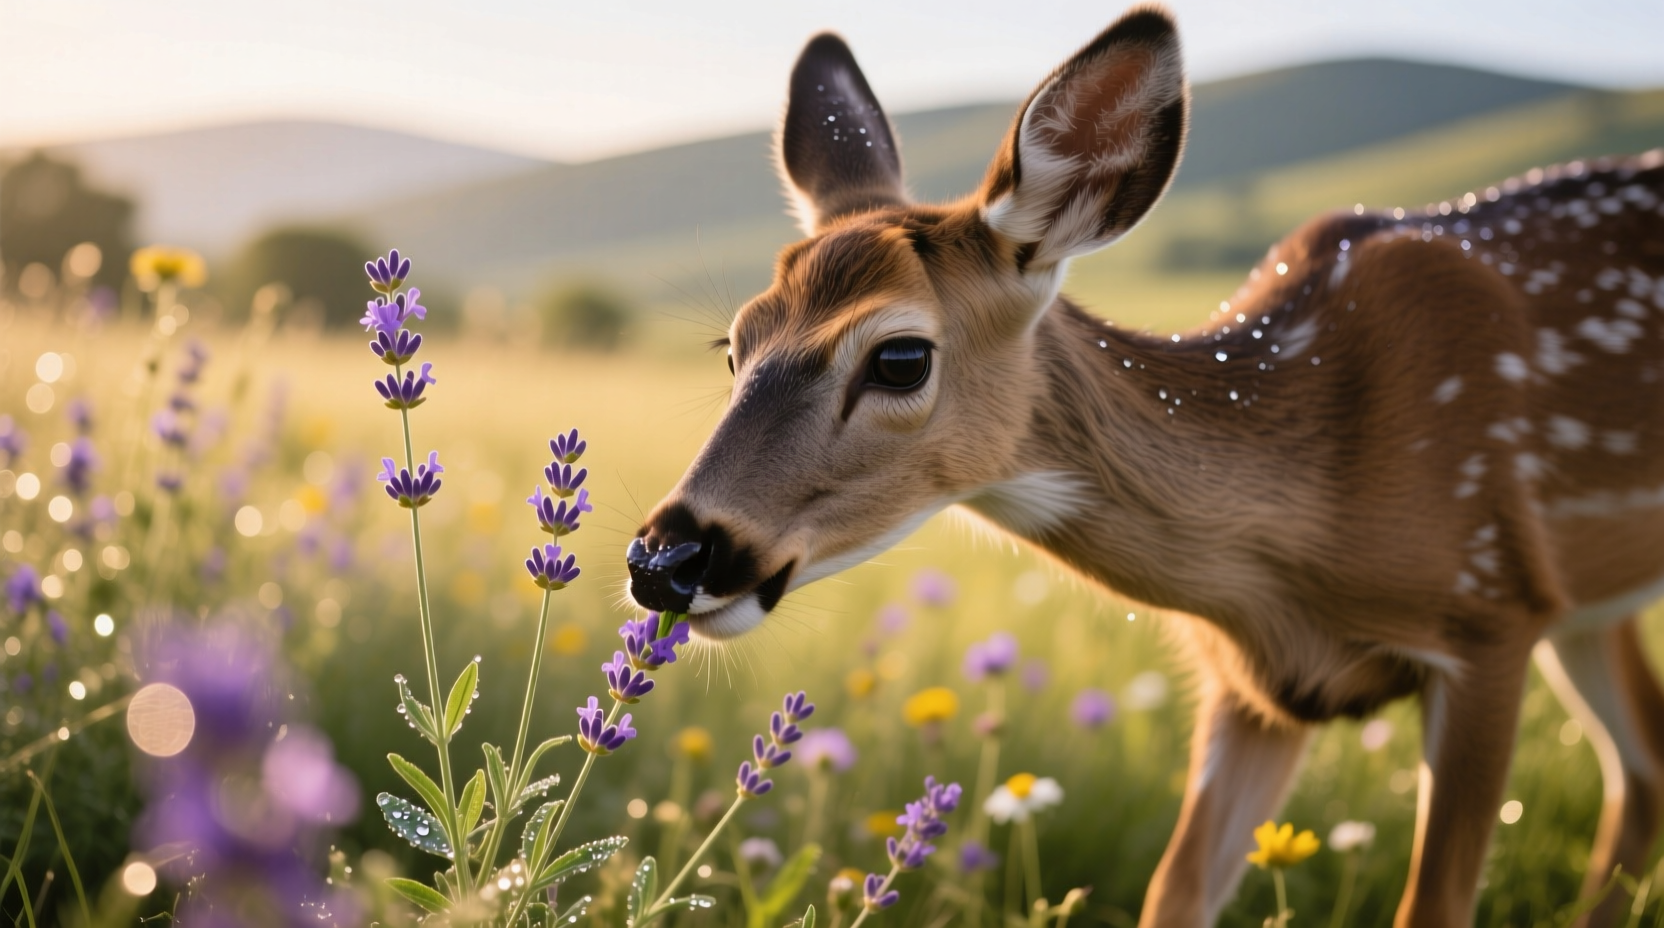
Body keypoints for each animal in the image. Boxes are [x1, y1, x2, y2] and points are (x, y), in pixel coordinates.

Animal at [622, 5, 1664, 925]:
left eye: (901, 356)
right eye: (734, 345)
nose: (666, 559)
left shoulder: (1490, 617)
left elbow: (1434, 906)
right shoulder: (1250, 685)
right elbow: (1175, 894)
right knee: (1644, 766)